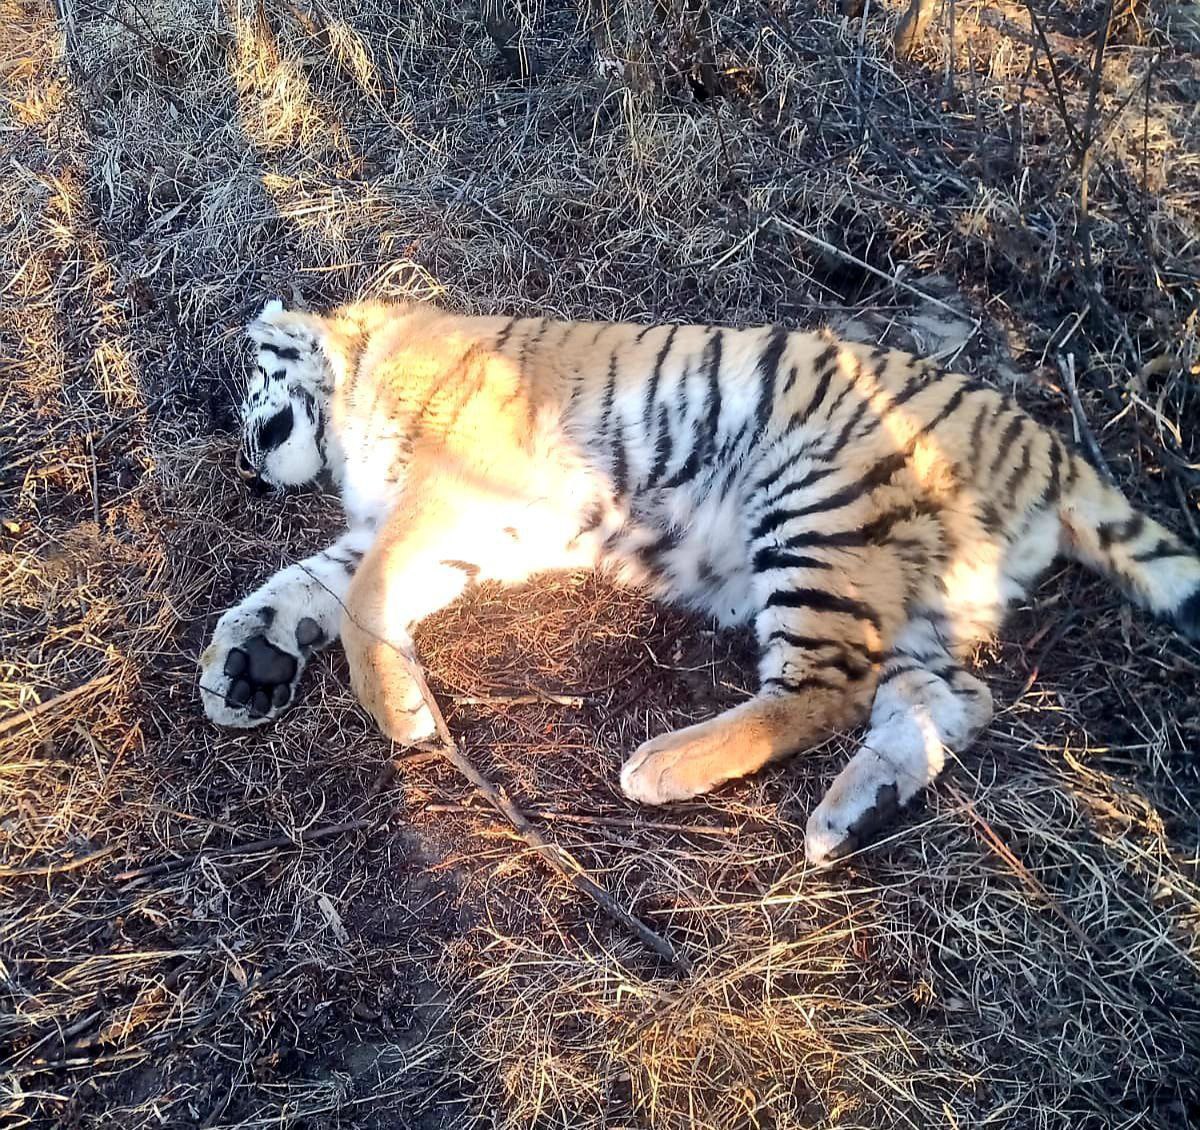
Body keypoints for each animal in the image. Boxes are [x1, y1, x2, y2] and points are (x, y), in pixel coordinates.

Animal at [196, 298, 1200, 868]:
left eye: (249, 393)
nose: (248, 470)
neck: (366, 359)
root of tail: (1045, 447)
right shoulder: (435, 535)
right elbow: (309, 585)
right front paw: (242, 667)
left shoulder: (440, 493)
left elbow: (362, 597)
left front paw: (399, 715)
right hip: (916, 600)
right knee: (948, 698)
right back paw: (855, 816)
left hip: (819, 510)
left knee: (823, 691)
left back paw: (663, 766)